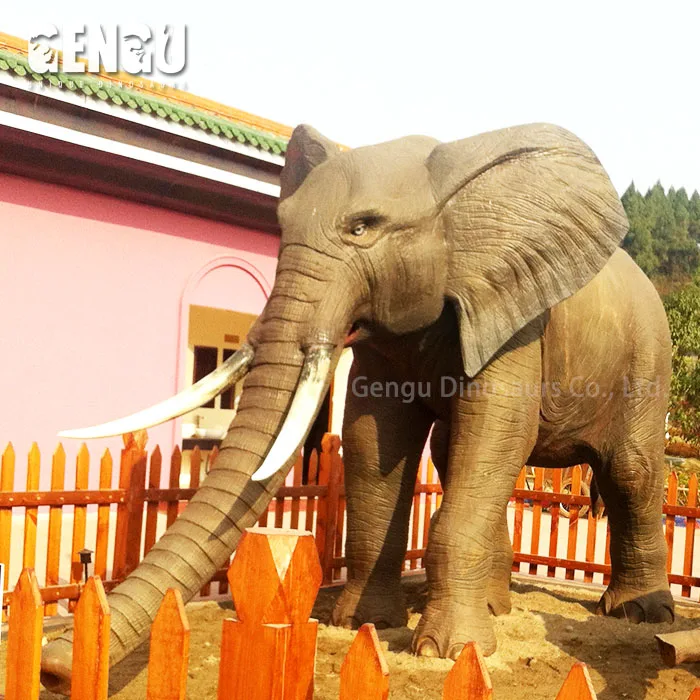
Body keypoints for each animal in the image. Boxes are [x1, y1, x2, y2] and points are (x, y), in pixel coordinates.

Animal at [41, 122, 673, 691]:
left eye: (362, 228)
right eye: (280, 229)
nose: (53, 665)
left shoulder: (516, 317)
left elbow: (497, 430)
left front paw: (446, 651)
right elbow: (374, 441)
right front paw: (364, 623)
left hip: (648, 354)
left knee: (628, 470)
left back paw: (639, 614)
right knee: (457, 458)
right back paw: (498, 610)